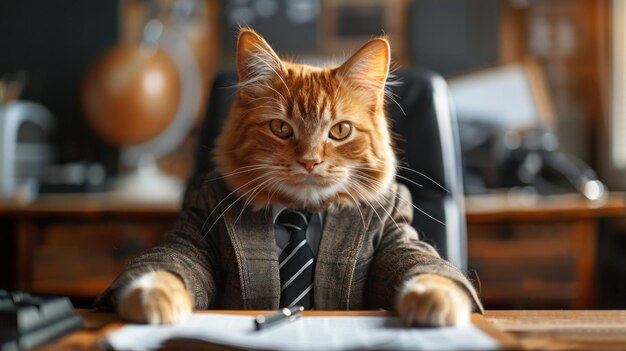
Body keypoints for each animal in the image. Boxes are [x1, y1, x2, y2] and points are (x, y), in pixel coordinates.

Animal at [116, 28, 468, 328]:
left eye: (340, 130)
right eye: (281, 128)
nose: (309, 162)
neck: (301, 210)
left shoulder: (396, 232)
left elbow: (423, 265)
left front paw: (435, 296)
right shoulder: (196, 229)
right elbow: (170, 264)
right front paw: (152, 295)